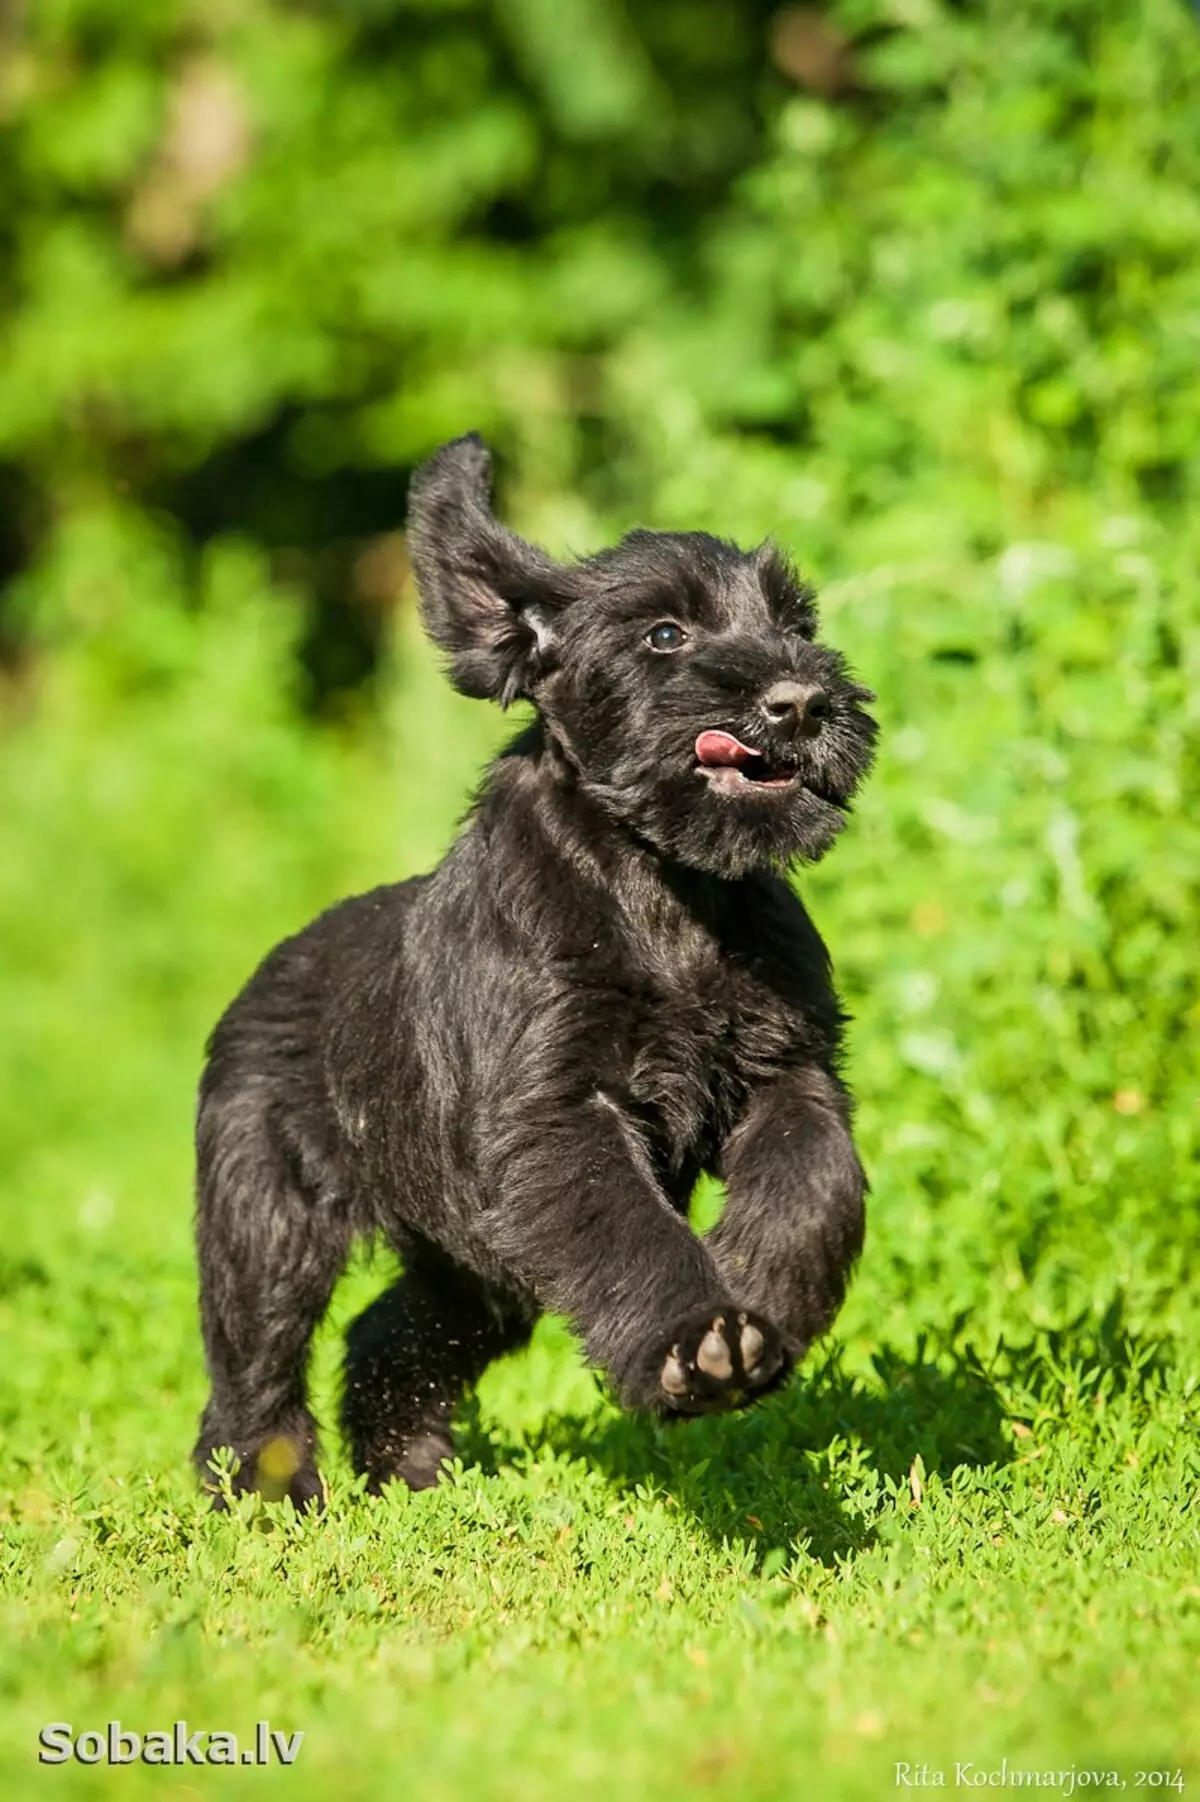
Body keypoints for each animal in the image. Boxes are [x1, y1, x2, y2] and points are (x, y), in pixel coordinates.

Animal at [191, 436, 875, 1506]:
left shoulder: (786, 1071)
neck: (668, 892)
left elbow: (816, 1184)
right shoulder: (557, 1115)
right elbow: (629, 1231)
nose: (802, 702)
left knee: (395, 1333)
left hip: (473, 1260)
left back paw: (410, 1472)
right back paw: (267, 1497)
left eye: (796, 624)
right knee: (254, 1361)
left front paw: (758, 1293)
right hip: (269, 1219)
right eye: (665, 633)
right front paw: (700, 1344)